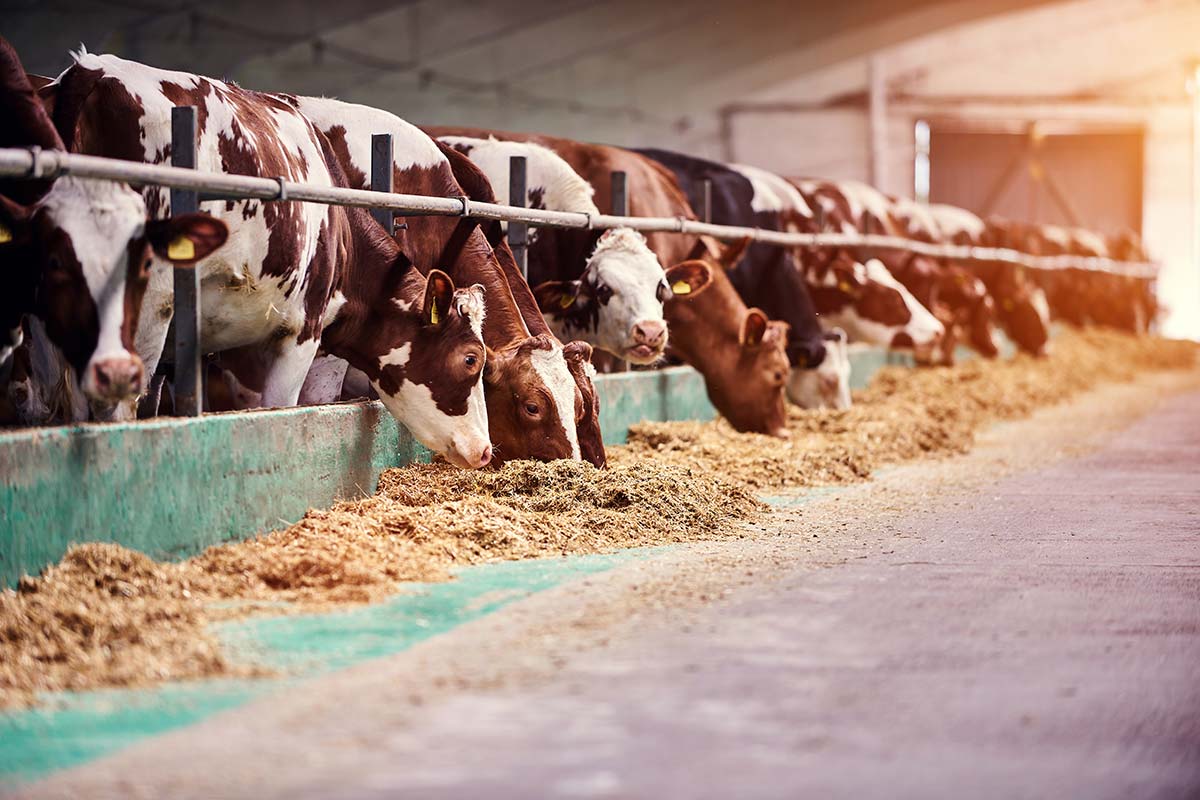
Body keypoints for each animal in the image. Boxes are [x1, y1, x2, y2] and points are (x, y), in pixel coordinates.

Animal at [37, 51, 493, 466]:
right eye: (472, 358)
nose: (486, 450)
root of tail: (92, 70)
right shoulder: (300, 333)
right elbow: (284, 413)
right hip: (147, 310)